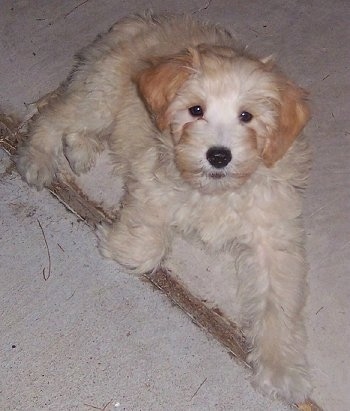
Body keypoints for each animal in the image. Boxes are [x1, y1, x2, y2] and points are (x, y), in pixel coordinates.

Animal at [16, 13, 312, 406]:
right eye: (196, 110)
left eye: (247, 116)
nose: (219, 155)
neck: (215, 191)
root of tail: (140, 23)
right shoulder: (151, 182)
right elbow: (147, 247)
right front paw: (114, 240)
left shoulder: (274, 237)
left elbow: (277, 303)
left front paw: (282, 372)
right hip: (100, 97)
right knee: (54, 116)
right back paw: (38, 158)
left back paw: (81, 150)